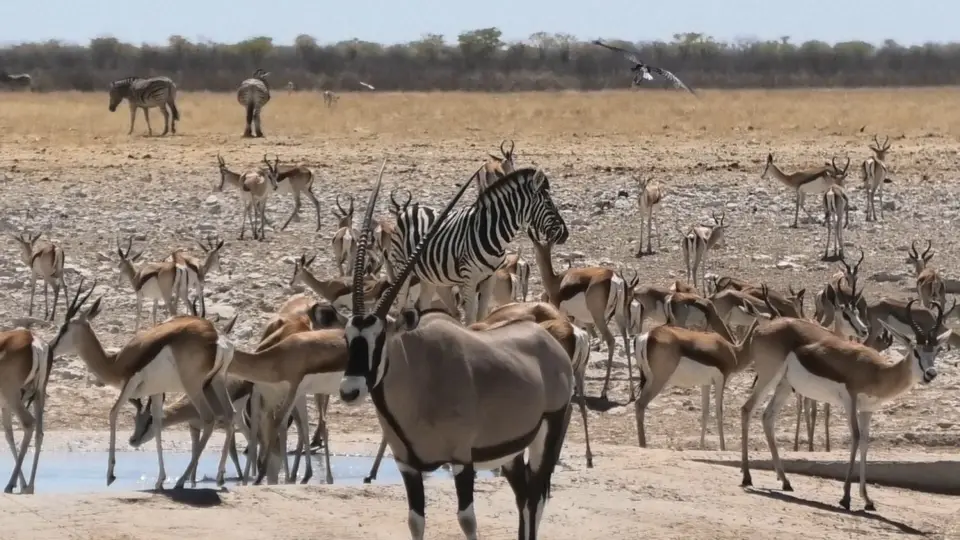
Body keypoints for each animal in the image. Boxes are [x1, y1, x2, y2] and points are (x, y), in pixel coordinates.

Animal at [387, 167, 569, 325]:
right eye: (548, 203)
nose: (565, 234)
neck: (491, 234)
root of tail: (408, 210)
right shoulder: (469, 279)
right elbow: (470, 318)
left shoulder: (490, 278)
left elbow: (481, 316)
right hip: (401, 266)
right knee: (400, 302)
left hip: (429, 277)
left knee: (423, 304)